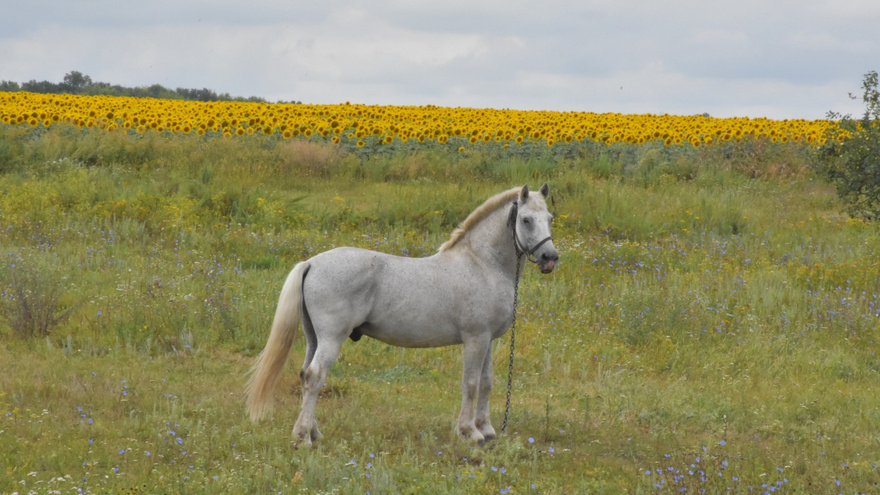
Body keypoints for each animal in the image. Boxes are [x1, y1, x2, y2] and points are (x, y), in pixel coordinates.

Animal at [245, 183, 558, 446]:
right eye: (526, 220)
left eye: (550, 218)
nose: (550, 258)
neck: (481, 263)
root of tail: (311, 262)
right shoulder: (476, 339)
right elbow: (470, 384)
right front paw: (469, 433)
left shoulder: (489, 340)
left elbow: (486, 382)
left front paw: (488, 430)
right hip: (332, 338)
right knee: (314, 376)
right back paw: (303, 438)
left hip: (314, 338)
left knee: (305, 374)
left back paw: (313, 432)